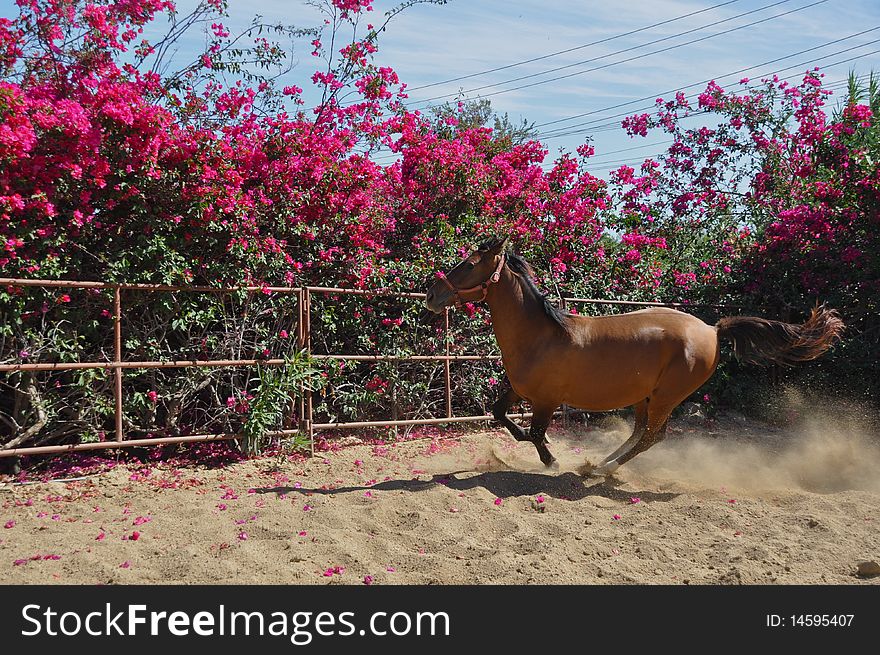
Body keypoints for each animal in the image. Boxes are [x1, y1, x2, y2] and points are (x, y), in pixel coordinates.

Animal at [426, 238, 844, 474]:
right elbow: (501, 416)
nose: (432, 295)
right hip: (646, 397)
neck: (540, 336)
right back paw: (599, 463)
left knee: (653, 437)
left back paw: (602, 470)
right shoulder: (519, 390)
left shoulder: (546, 401)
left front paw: (552, 461)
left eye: (469, 264)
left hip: (666, 397)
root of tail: (712, 330)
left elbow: (536, 434)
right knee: (640, 432)